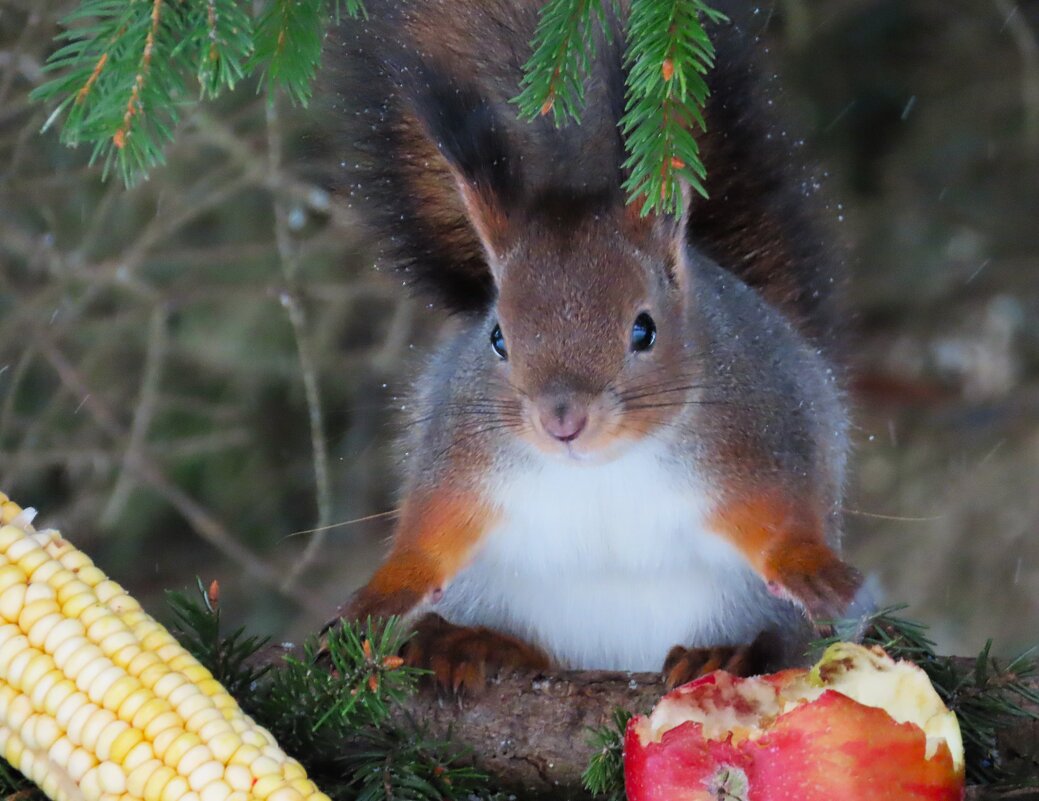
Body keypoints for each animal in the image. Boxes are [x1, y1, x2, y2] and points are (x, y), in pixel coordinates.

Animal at [324, 0, 860, 689]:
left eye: (644, 329)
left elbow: (780, 517)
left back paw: (727, 653)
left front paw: (807, 565)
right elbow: (433, 525)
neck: (601, 469)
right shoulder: (463, 454)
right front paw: (384, 591)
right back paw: (470, 644)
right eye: (497, 337)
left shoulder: (758, 435)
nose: (562, 422)